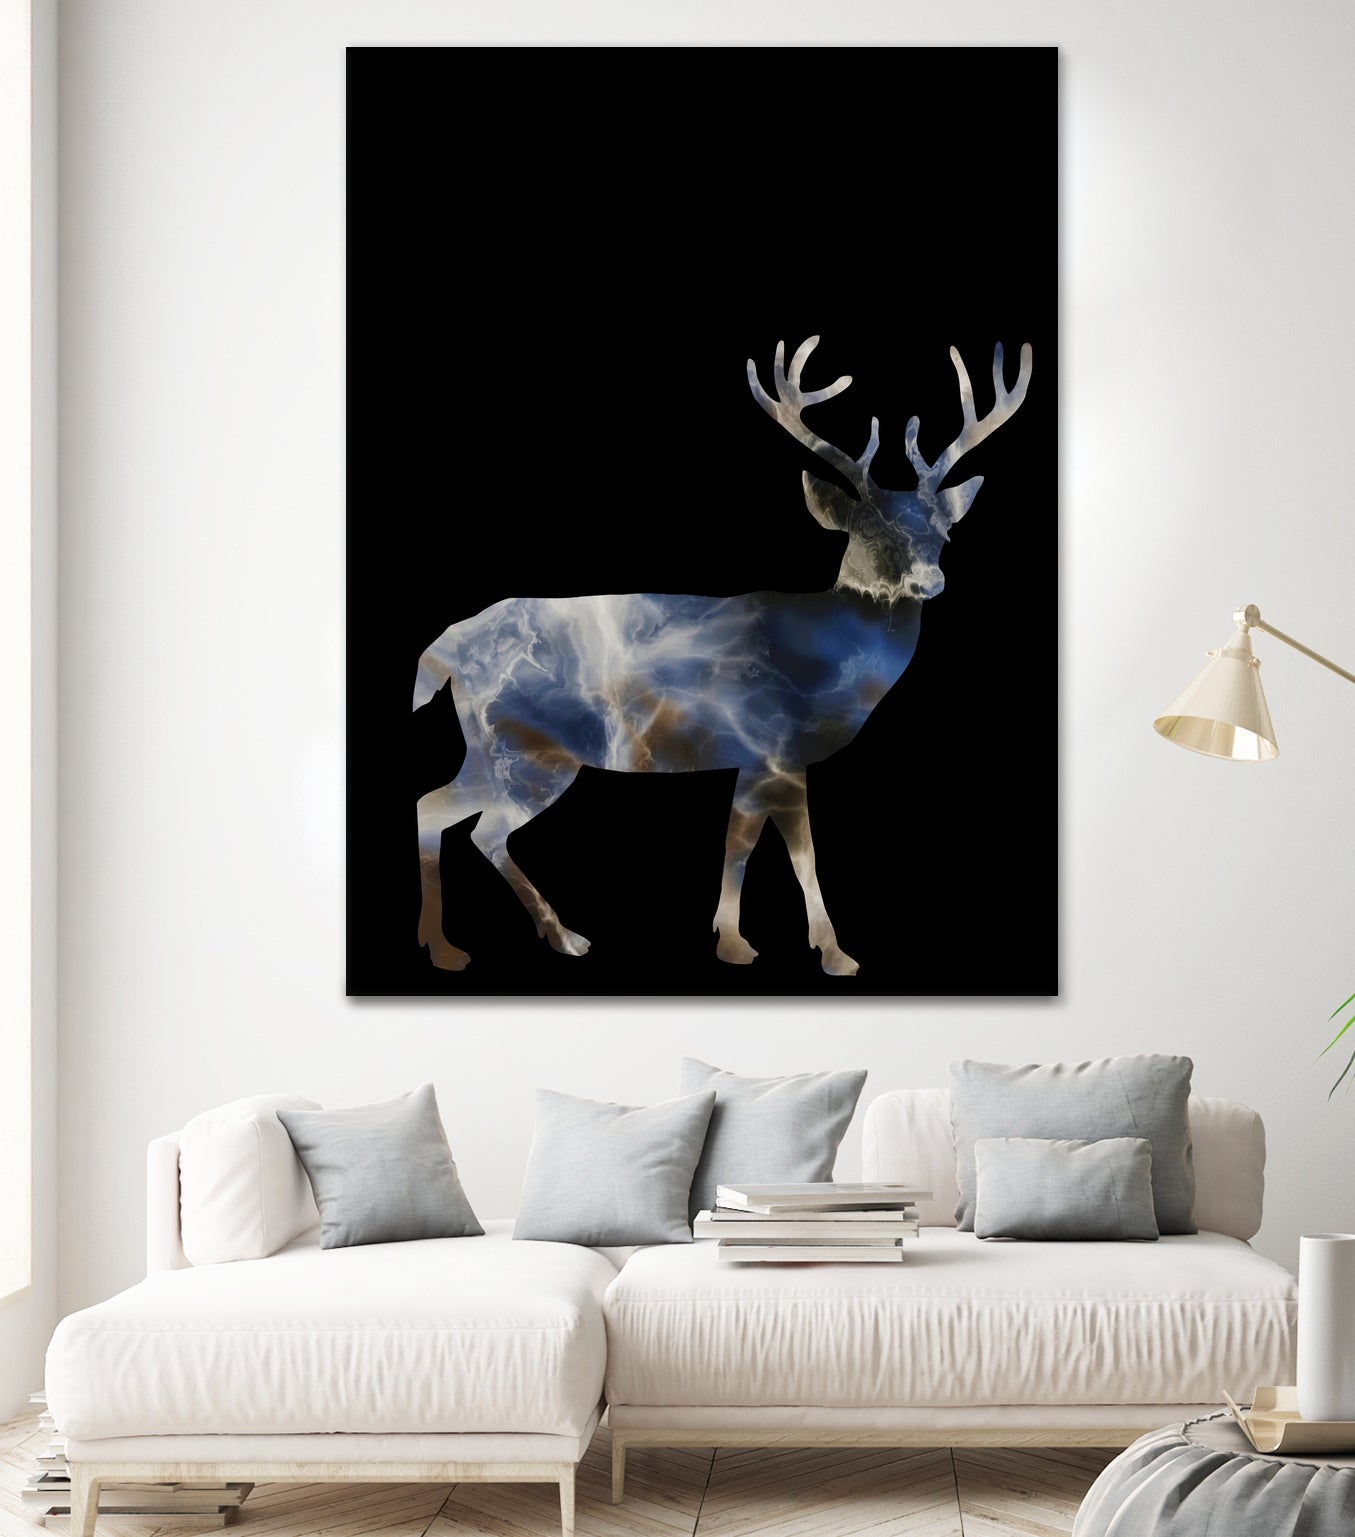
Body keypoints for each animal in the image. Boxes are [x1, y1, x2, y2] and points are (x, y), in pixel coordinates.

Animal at [412, 335, 1032, 976]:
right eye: (868, 531)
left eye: (944, 535)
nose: (930, 581)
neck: (825, 660)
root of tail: (449, 646)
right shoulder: (774, 747)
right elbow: (786, 852)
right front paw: (816, 951)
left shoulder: (757, 759)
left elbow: (743, 843)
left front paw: (742, 939)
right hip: (528, 750)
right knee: (475, 826)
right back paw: (513, 941)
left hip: (493, 748)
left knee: (438, 808)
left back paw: (490, 940)